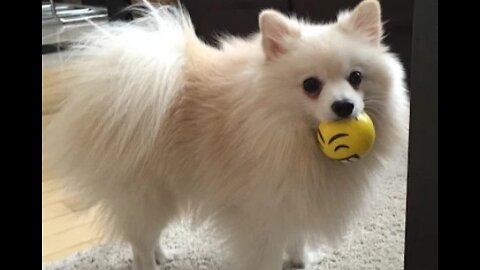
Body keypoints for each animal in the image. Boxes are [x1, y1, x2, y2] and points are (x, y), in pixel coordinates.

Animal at [44, 0, 408, 268]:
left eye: (356, 77)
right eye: (311, 85)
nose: (344, 106)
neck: (292, 135)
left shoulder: (294, 198)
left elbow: (297, 237)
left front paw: (301, 261)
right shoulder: (263, 212)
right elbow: (266, 255)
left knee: (146, 235)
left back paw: (163, 255)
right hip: (147, 191)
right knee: (139, 242)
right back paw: (150, 262)